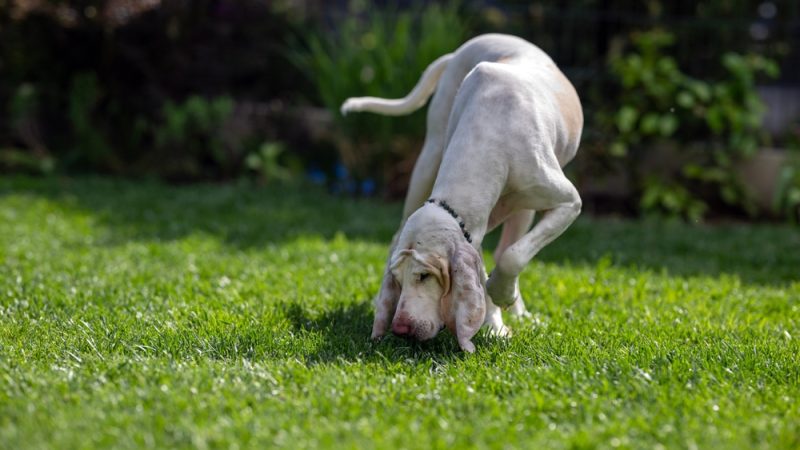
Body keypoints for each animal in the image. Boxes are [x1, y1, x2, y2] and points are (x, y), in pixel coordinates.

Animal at [342, 33, 580, 354]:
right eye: (399, 279)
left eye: (425, 276)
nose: (401, 329)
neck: (491, 134)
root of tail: (459, 51)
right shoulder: (471, 230)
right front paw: (494, 325)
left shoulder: (569, 202)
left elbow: (512, 257)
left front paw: (500, 300)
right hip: (428, 159)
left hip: (524, 210)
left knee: (510, 247)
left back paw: (517, 309)